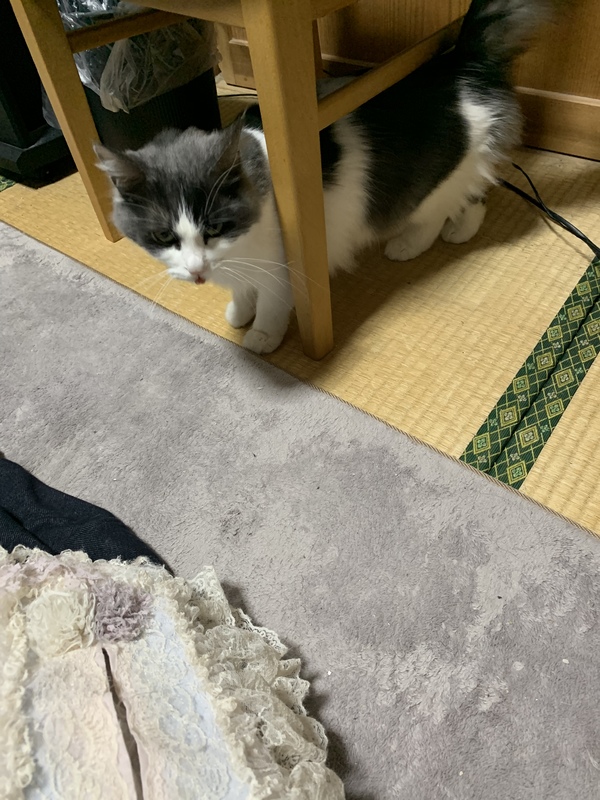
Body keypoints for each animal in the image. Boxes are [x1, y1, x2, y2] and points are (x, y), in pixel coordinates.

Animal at [96, 0, 553, 354]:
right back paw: (460, 229)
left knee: (442, 207)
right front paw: (238, 312)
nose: (196, 270)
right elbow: (241, 293)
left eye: (215, 227)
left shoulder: (281, 272)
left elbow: (271, 306)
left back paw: (414, 243)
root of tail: (458, 63)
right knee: (476, 194)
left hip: (435, 179)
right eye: (162, 236)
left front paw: (261, 335)